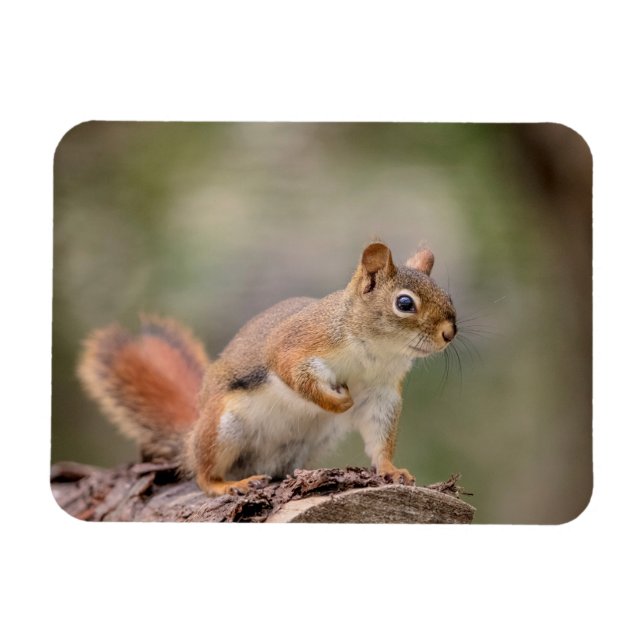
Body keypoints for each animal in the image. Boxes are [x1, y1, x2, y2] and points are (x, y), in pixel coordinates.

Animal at [77, 241, 457, 496]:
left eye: (447, 296)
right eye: (404, 303)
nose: (449, 333)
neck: (376, 352)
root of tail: (191, 435)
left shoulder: (381, 393)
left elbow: (379, 435)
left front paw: (391, 470)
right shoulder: (297, 343)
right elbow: (294, 374)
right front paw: (337, 402)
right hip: (222, 427)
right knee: (202, 472)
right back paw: (226, 485)